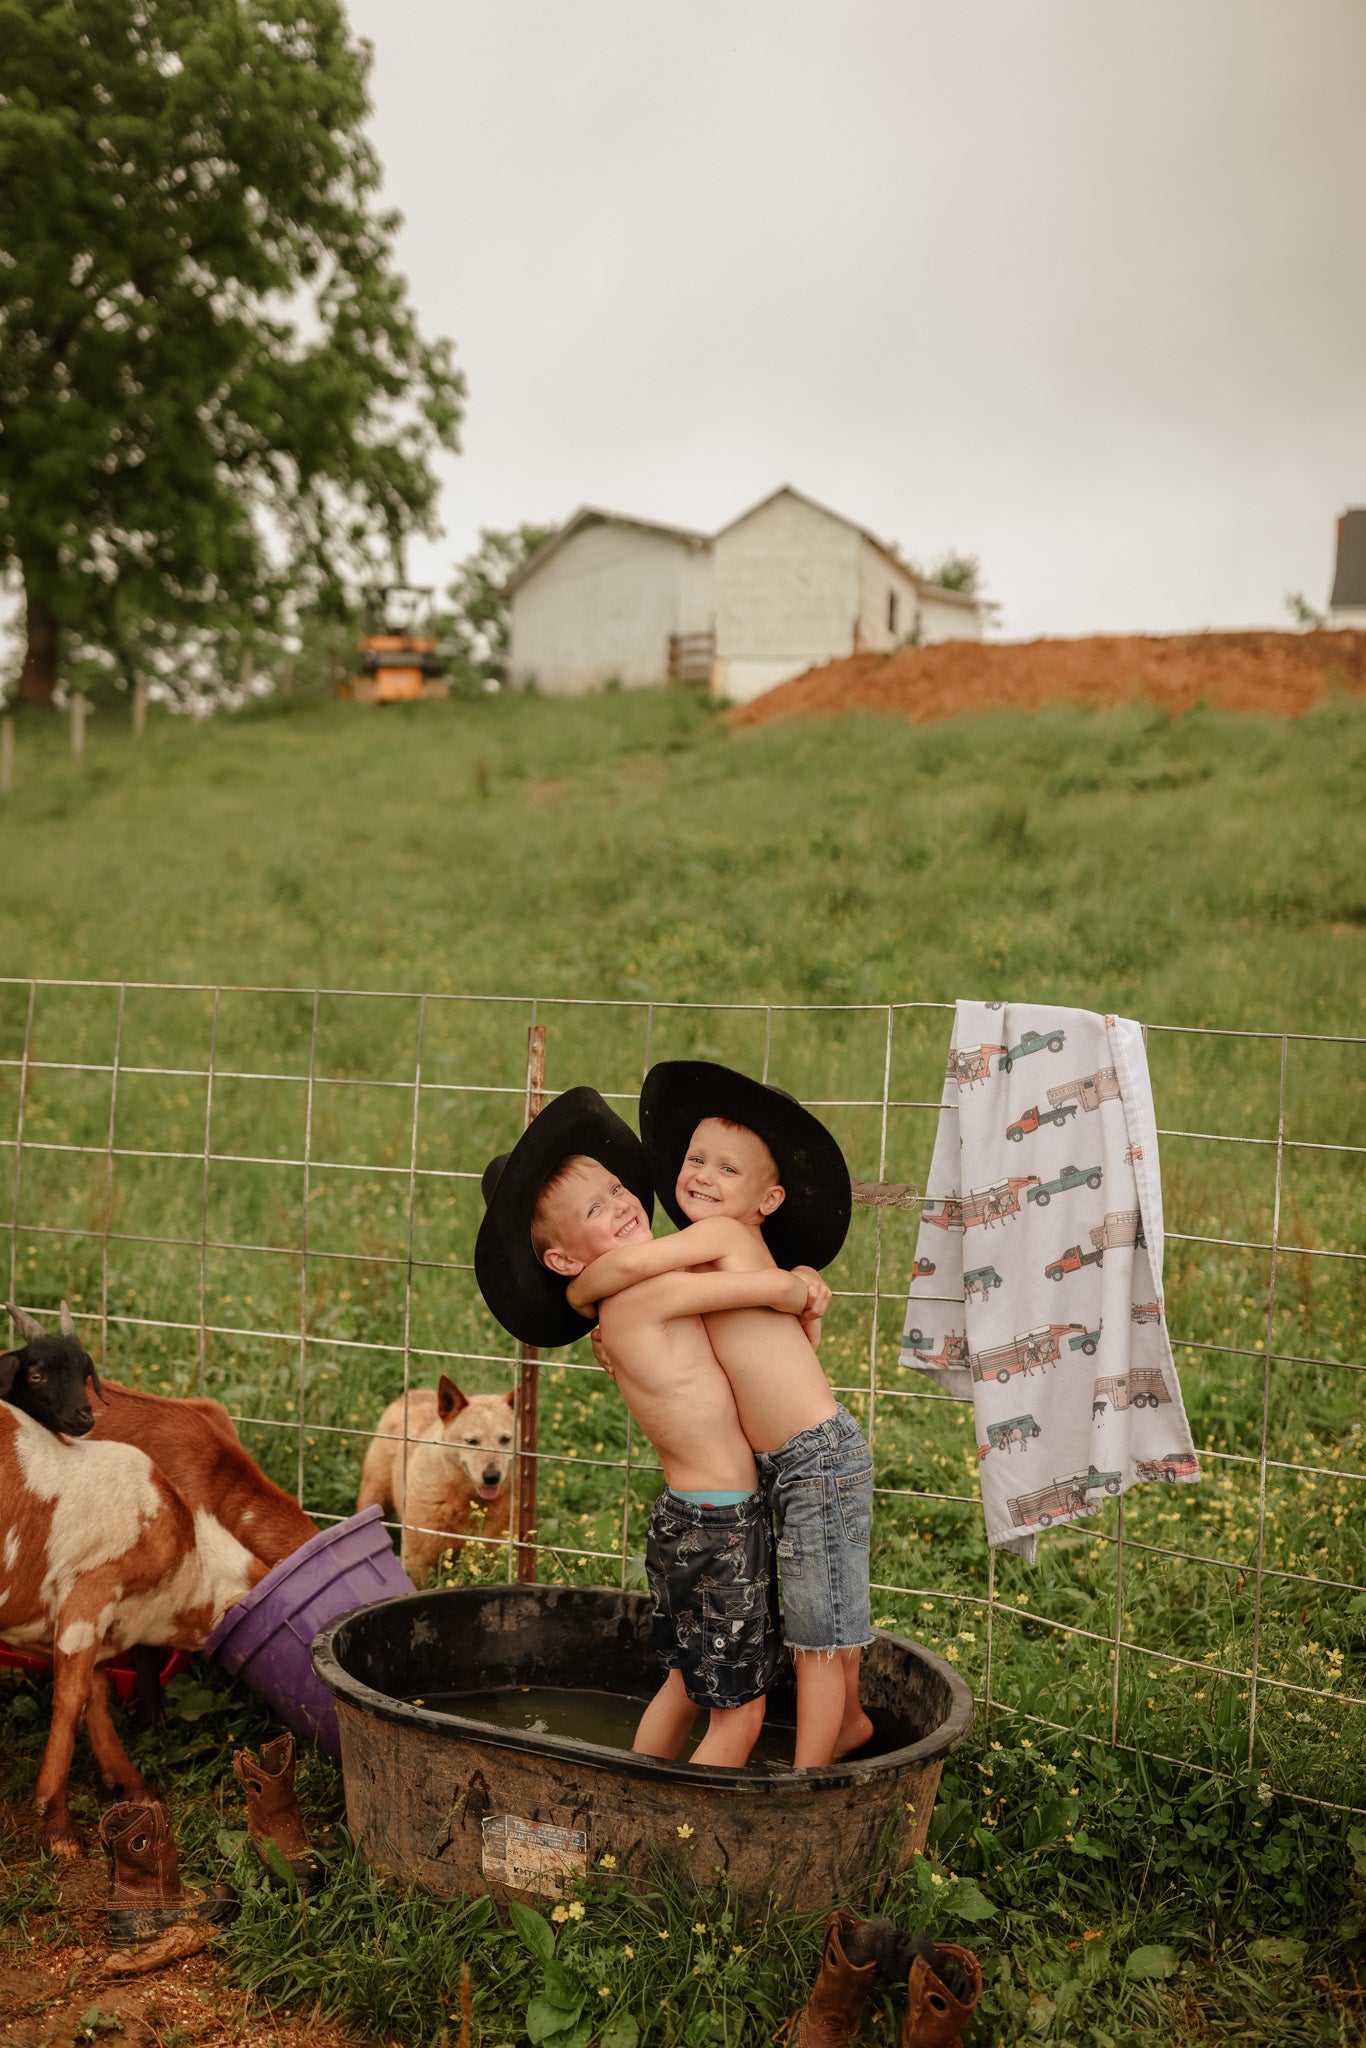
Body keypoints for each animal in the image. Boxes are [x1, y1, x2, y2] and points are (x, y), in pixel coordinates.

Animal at [358, 1376, 518, 1581]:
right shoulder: (418, 1558)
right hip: (374, 1494)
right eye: (472, 1441)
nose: (492, 1477)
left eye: (505, 1439)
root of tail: (412, 1393)